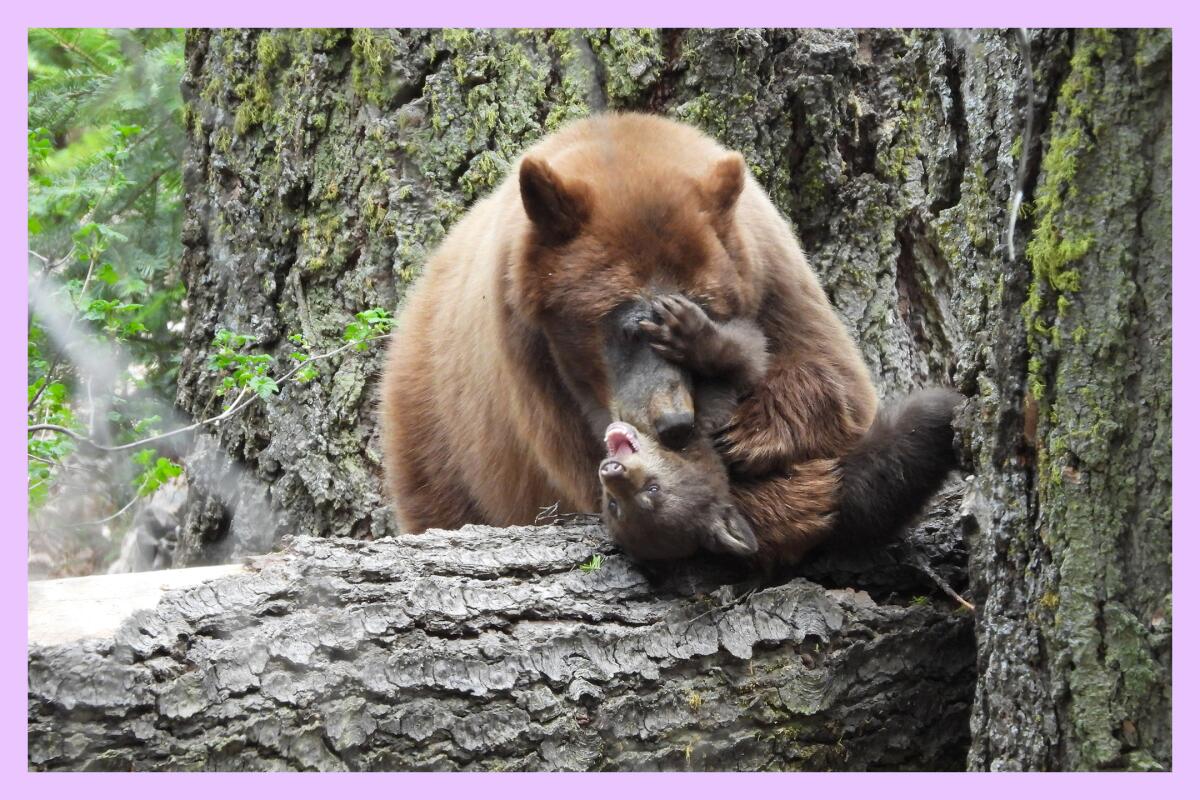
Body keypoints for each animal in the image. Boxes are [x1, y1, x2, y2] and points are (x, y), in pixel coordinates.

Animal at [381, 112, 907, 563]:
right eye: (627, 326)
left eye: (706, 308)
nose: (674, 422)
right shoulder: (531, 366)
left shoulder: (772, 275)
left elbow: (839, 385)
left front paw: (750, 432)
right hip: (437, 446)